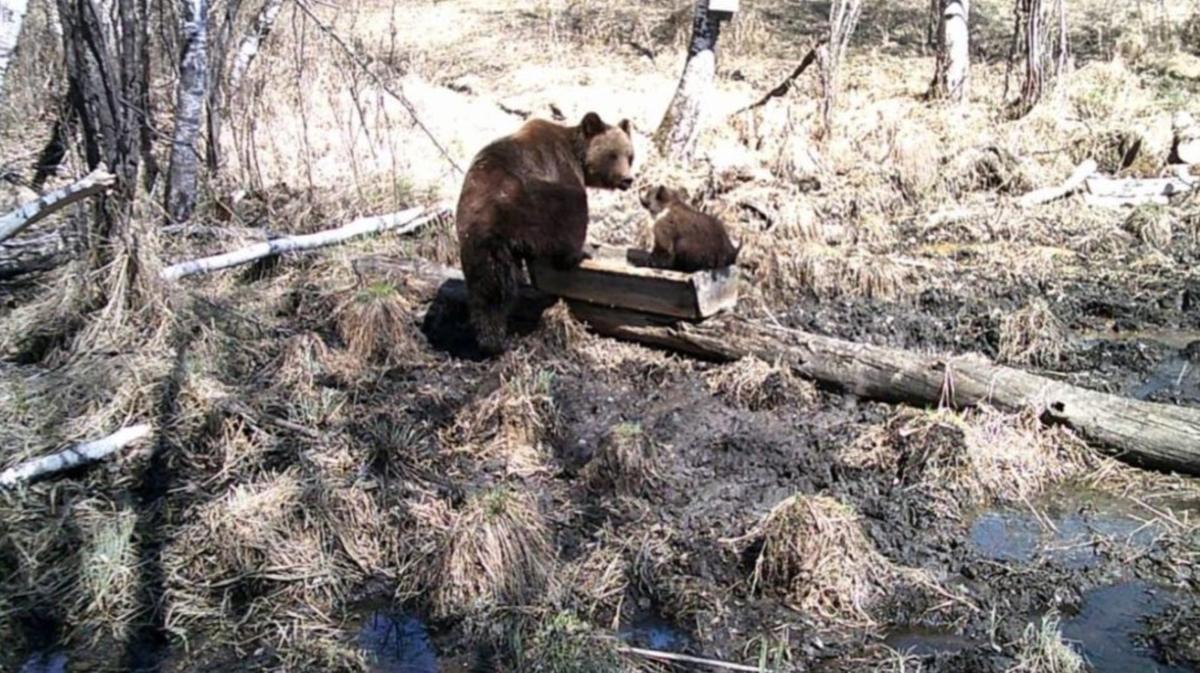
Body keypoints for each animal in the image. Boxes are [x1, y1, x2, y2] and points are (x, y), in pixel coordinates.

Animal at [453, 111, 638, 352]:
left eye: (630, 155)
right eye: (612, 154)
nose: (628, 179)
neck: (577, 155)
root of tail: (491, 220)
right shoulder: (560, 166)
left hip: (475, 235)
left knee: (488, 285)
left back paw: (490, 336)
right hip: (534, 205)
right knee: (573, 213)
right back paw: (578, 254)